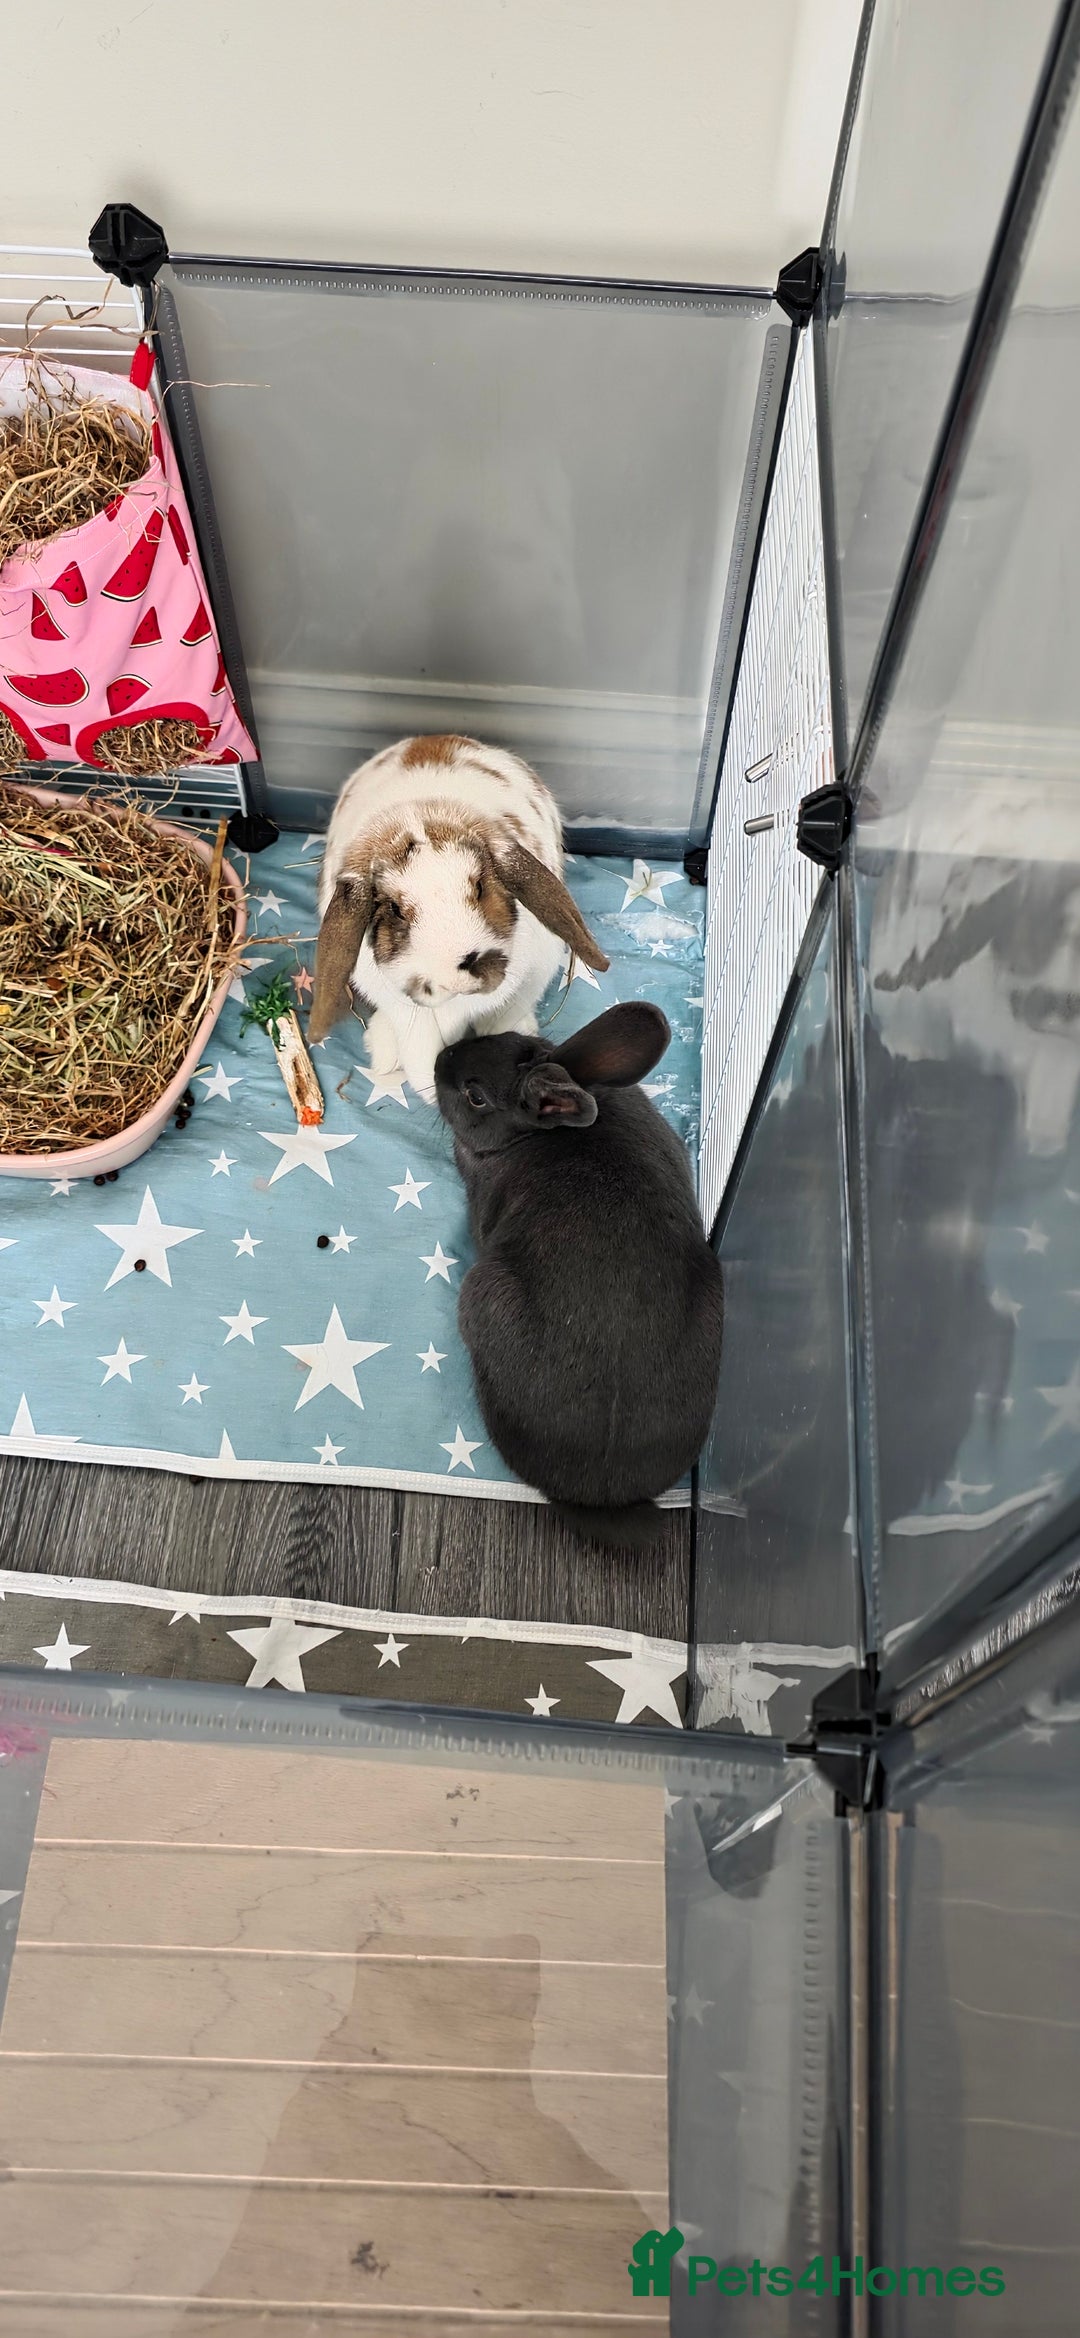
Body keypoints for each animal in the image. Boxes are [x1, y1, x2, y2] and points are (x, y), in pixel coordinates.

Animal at [308, 734, 609, 1099]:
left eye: (480, 886)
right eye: (394, 909)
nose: (456, 976)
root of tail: (432, 737)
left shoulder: (534, 973)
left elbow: (506, 1016)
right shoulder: (408, 1011)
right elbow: (422, 1052)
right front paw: (429, 1088)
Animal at [435, 1000, 724, 1547]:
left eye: (475, 1096)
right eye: (508, 1038)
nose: (442, 1061)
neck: (531, 1133)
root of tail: (598, 1496)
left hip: (484, 1290)